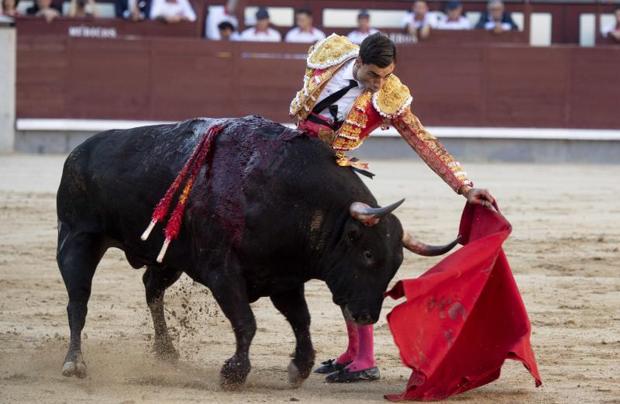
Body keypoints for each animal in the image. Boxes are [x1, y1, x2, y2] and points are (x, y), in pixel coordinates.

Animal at [55, 115, 458, 386]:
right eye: (368, 255)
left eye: (396, 264)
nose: (366, 315)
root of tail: (77, 151)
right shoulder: (222, 271)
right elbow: (246, 322)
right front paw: (233, 373)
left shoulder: (283, 278)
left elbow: (301, 320)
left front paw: (299, 367)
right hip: (77, 240)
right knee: (78, 302)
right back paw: (74, 363)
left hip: (166, 257)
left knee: (152, 291)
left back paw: (166, 352)